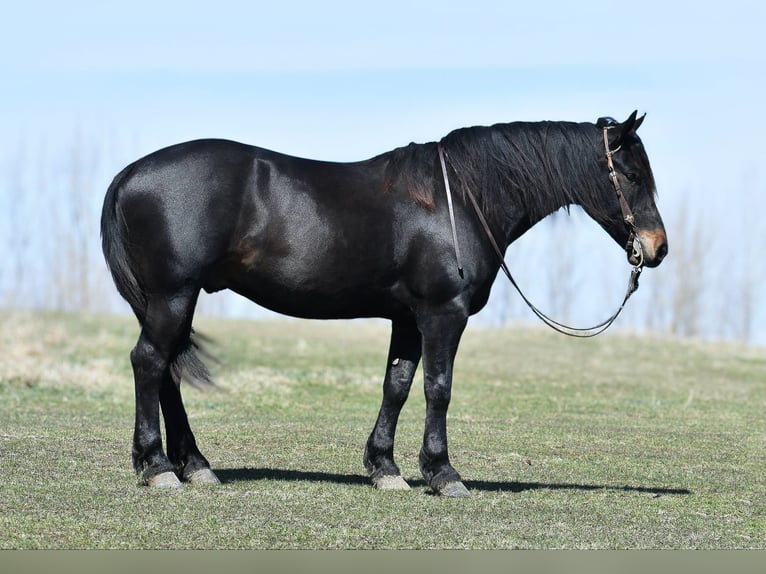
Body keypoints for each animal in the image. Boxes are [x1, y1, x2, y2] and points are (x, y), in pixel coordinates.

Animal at [101, 111, 667, 497]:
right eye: (632, 175)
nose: (657, 248)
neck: (458, 200)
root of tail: (129, 174)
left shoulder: (408, 319)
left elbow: (397, 384)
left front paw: (386, 468)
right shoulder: (443, 314)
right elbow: (438, 388)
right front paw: (442, 473)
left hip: (172, 299)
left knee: (167, 371)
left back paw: (194, 465)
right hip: (173, 295)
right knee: (149, 363)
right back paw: (158, 467)